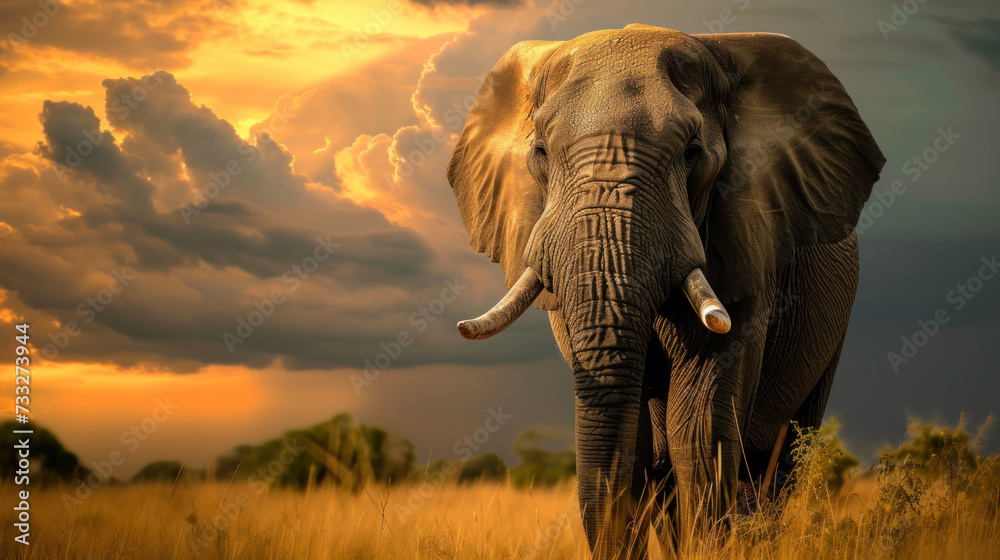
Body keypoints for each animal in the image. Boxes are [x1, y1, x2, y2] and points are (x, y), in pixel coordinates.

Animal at [446, 25, 884, 558]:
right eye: (542, 153)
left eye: (692, 152)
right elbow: (634, 442)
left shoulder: (746, 243)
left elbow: (696, 428)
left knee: (779, 462)